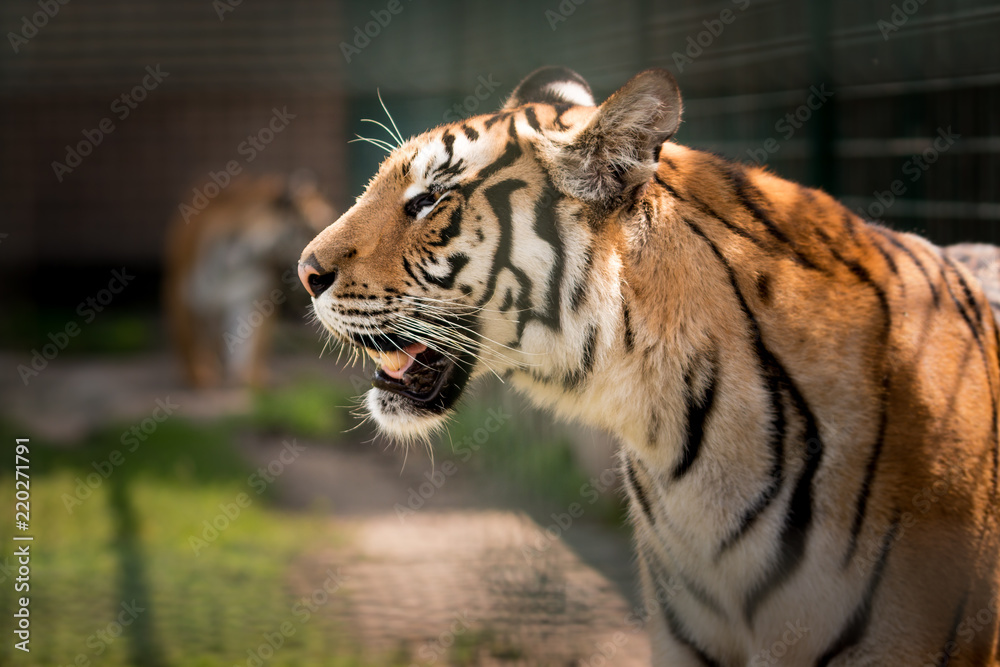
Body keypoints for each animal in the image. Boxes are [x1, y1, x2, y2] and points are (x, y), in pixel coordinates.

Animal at [165, 171, 335, 387]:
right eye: (315, 228)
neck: (238, 258)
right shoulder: (183, 295)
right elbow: (191, 342)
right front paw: (200, 377)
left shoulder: (250, 297)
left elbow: (249, 342)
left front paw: (248, 378)